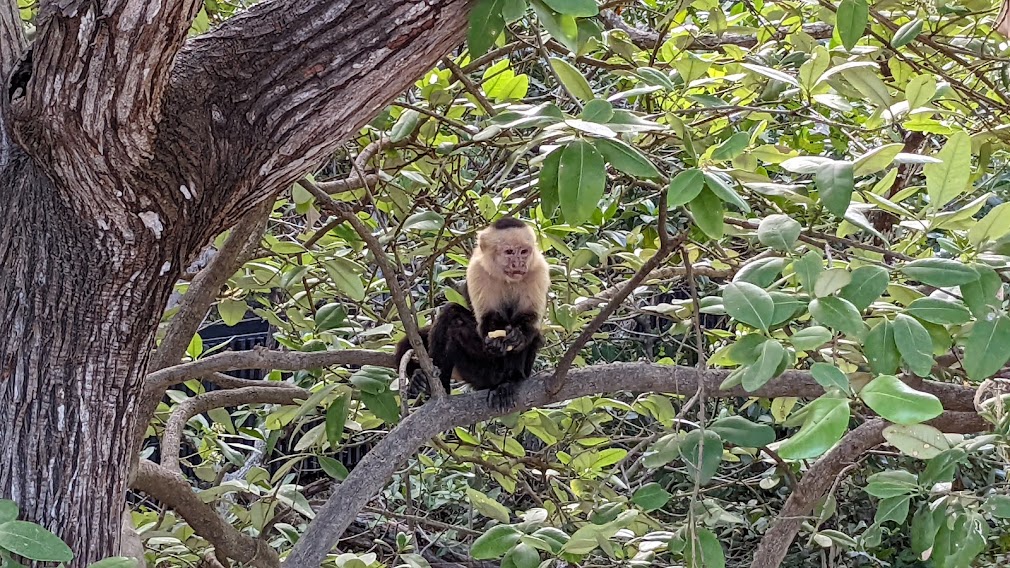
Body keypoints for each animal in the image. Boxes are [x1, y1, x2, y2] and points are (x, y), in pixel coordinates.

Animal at [393, 217, 551, 411]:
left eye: (524, 252)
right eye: (509, 252)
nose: (519, 264)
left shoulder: (539, 270)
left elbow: (528, 318)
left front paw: (517, 337)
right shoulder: (477, 270)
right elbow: (488, 318)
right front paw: (496, 341)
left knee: (534, 335)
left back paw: (509, 381)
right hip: (475, 370)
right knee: (452, 317)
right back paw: (432, 385)